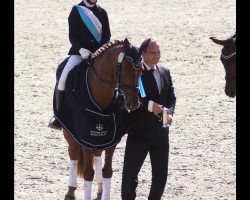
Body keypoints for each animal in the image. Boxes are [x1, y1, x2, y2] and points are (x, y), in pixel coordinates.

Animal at [53, 38, 143, 199]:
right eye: (126, 70)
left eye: (141, 71)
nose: (133, 104)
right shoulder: (85, 138)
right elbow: (88, 173)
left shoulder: (111, 137)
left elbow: (107, 171)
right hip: (70, 132)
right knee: (73, 154)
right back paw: (71, 191)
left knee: (97, 155)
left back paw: (100, 189)